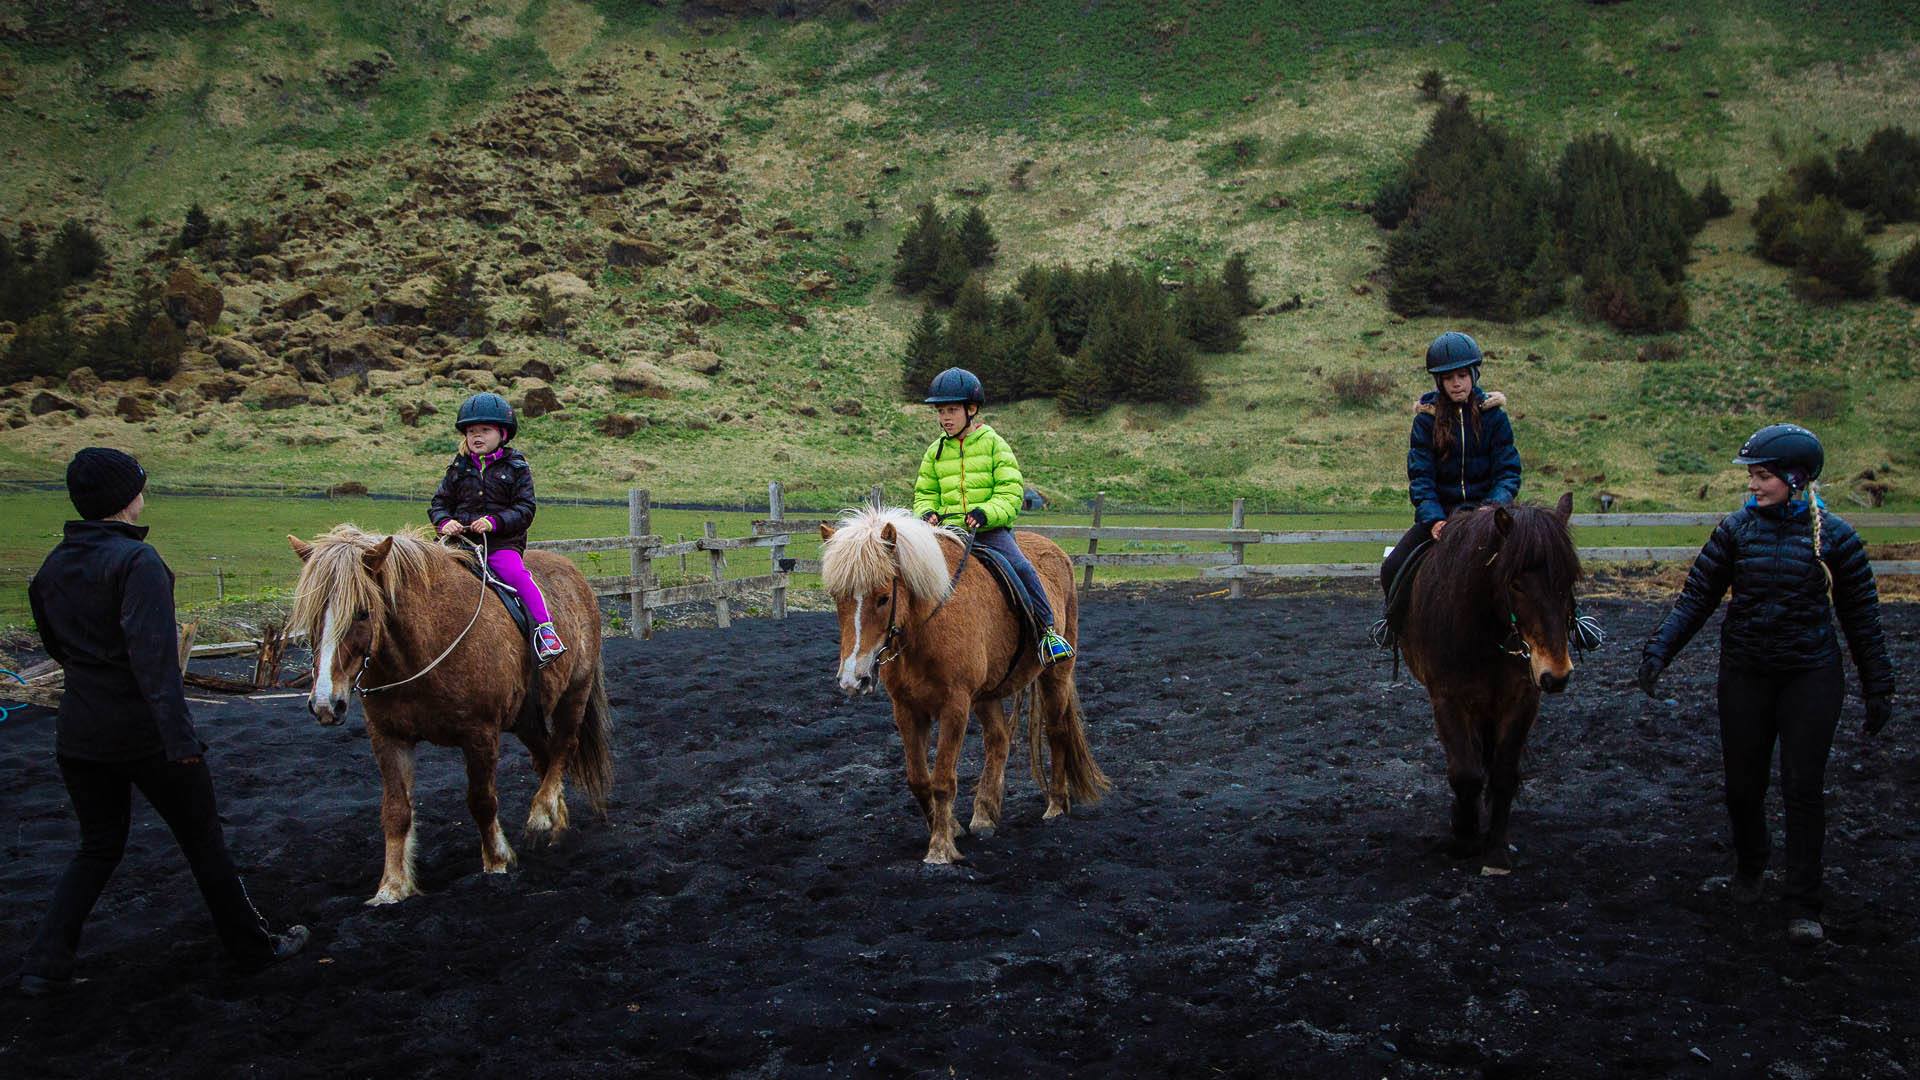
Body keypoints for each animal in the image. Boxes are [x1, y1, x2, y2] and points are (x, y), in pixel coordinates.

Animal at [284, 522, 610, 899]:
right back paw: (556, 824)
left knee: (564, 748)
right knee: (545, 758)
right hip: (526, 717)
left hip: (575, 692)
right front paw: (392, 886)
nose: (325, 703)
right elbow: (395, 811)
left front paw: (497, 862)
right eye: (312, 614)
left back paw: (542, 814)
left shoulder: (480, 734)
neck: (426, 644)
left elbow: (482, 801)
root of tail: (574, 574)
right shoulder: (387, 736)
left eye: (362, 612)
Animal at [1405, 491, 1582, 868]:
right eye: (1515, 583)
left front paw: (1497, 848)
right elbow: (1465, 773)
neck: (1486, 631)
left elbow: (1502, 774)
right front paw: (1465, 839)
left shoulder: (1522, 699)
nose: (1556, 674)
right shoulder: (1448, 699)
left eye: (1569, 579)